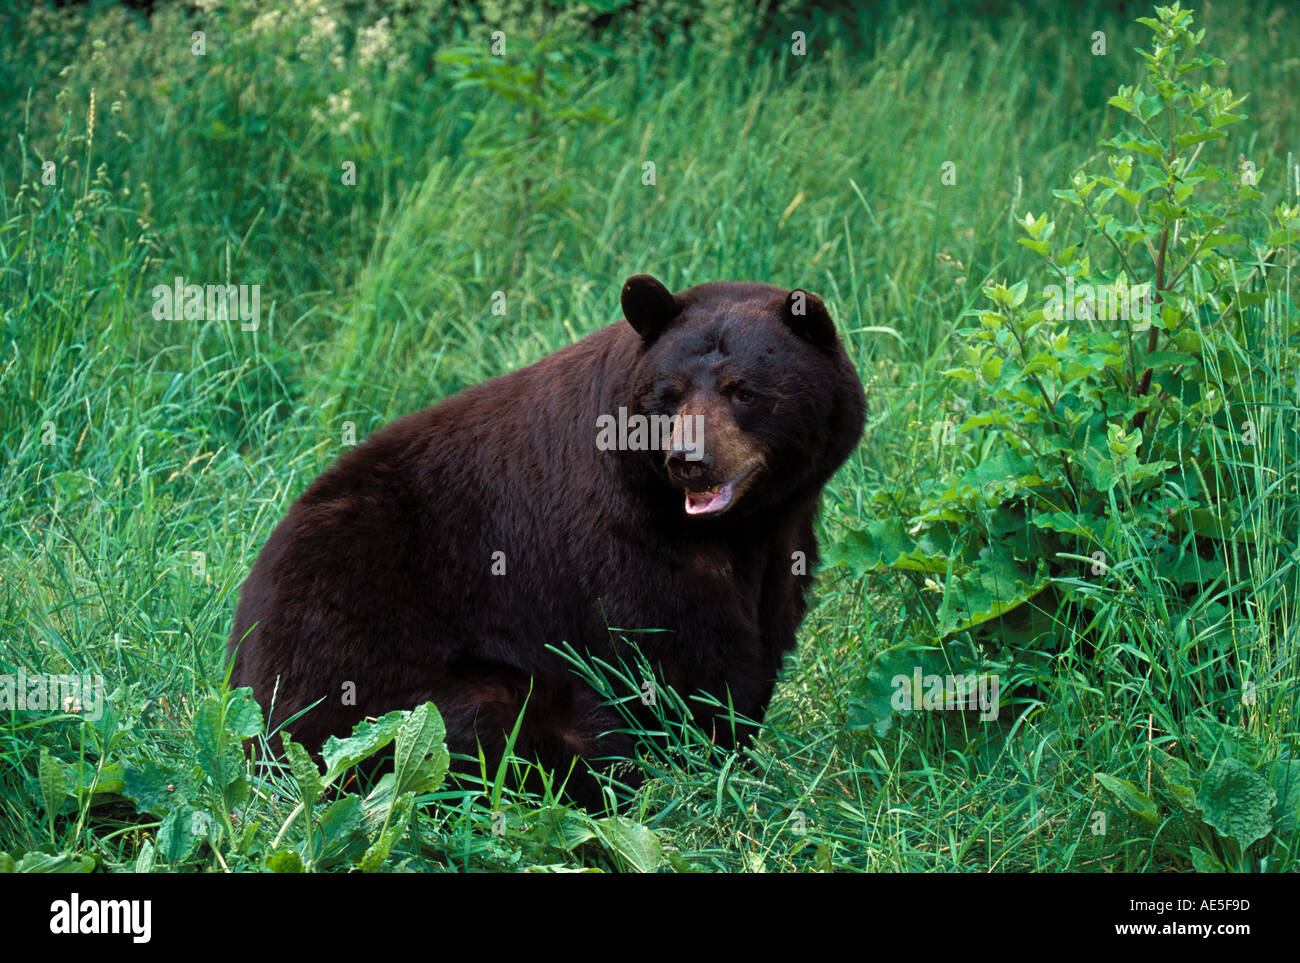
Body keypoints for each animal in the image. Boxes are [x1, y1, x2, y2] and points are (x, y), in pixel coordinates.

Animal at [227, 274, 866, 808]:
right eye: (669, 394)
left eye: (744, 392)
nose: (689, 461)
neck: (735, 529)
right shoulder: (623, 538)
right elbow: (670, 651)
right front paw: (705, 774)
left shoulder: (784, 540)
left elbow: (761, 640)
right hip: (372, 705)